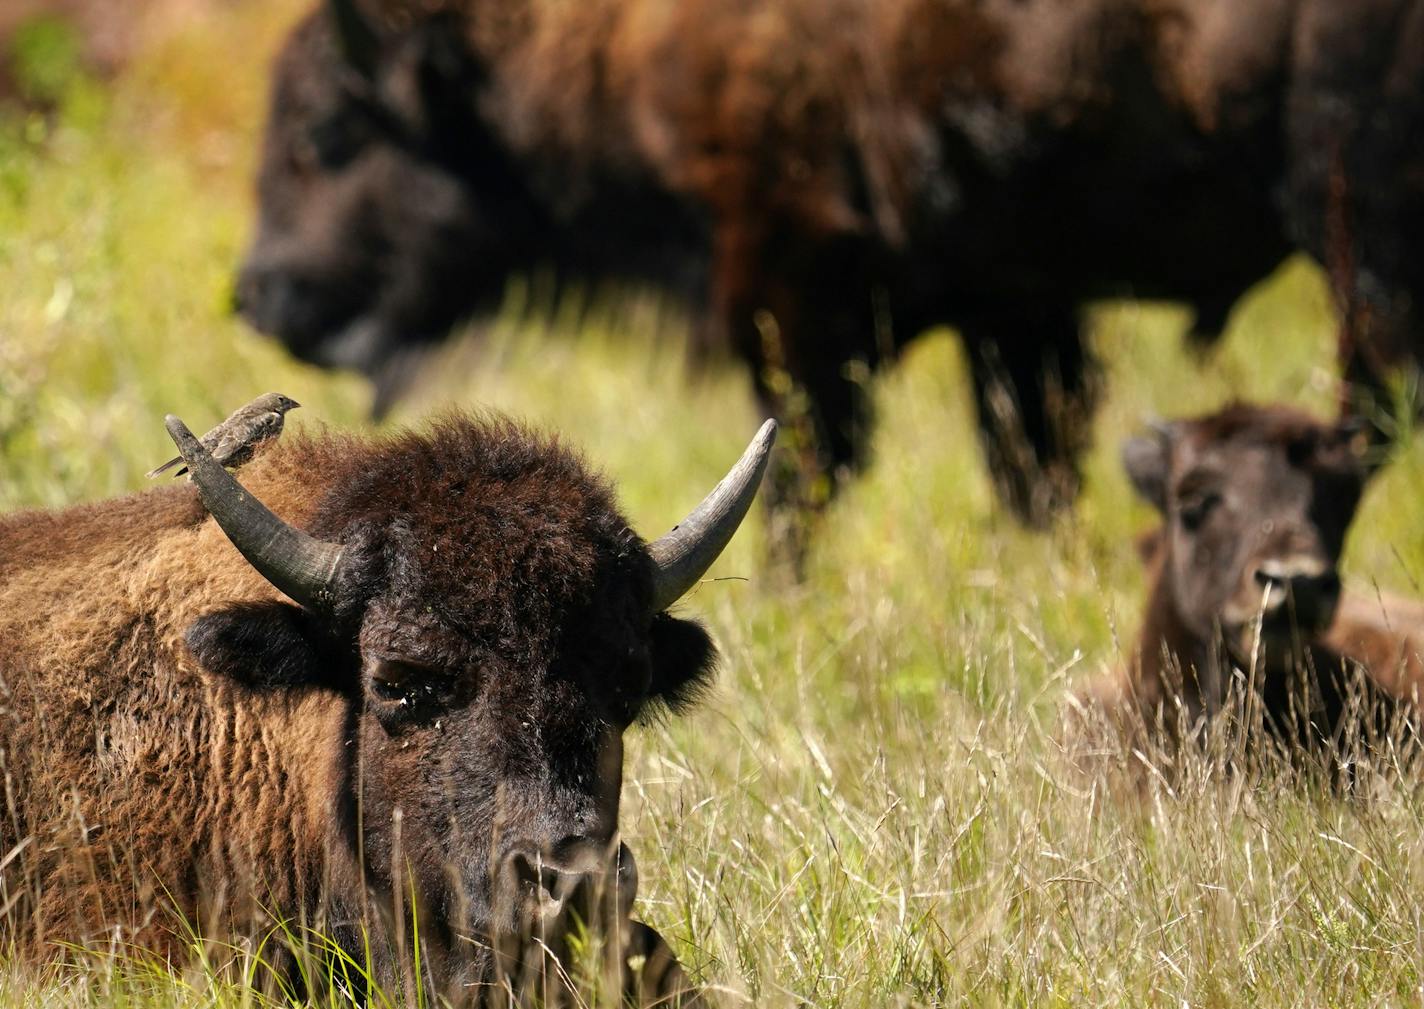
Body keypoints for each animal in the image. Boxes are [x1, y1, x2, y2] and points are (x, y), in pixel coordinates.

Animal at [236, 1, 1424, 526]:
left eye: (328, 130)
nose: (259, 293)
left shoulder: (790, 283)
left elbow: (802, 469)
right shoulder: (1016, 304)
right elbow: (1029, 461)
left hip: (1354, 231)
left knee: (1370, 404)